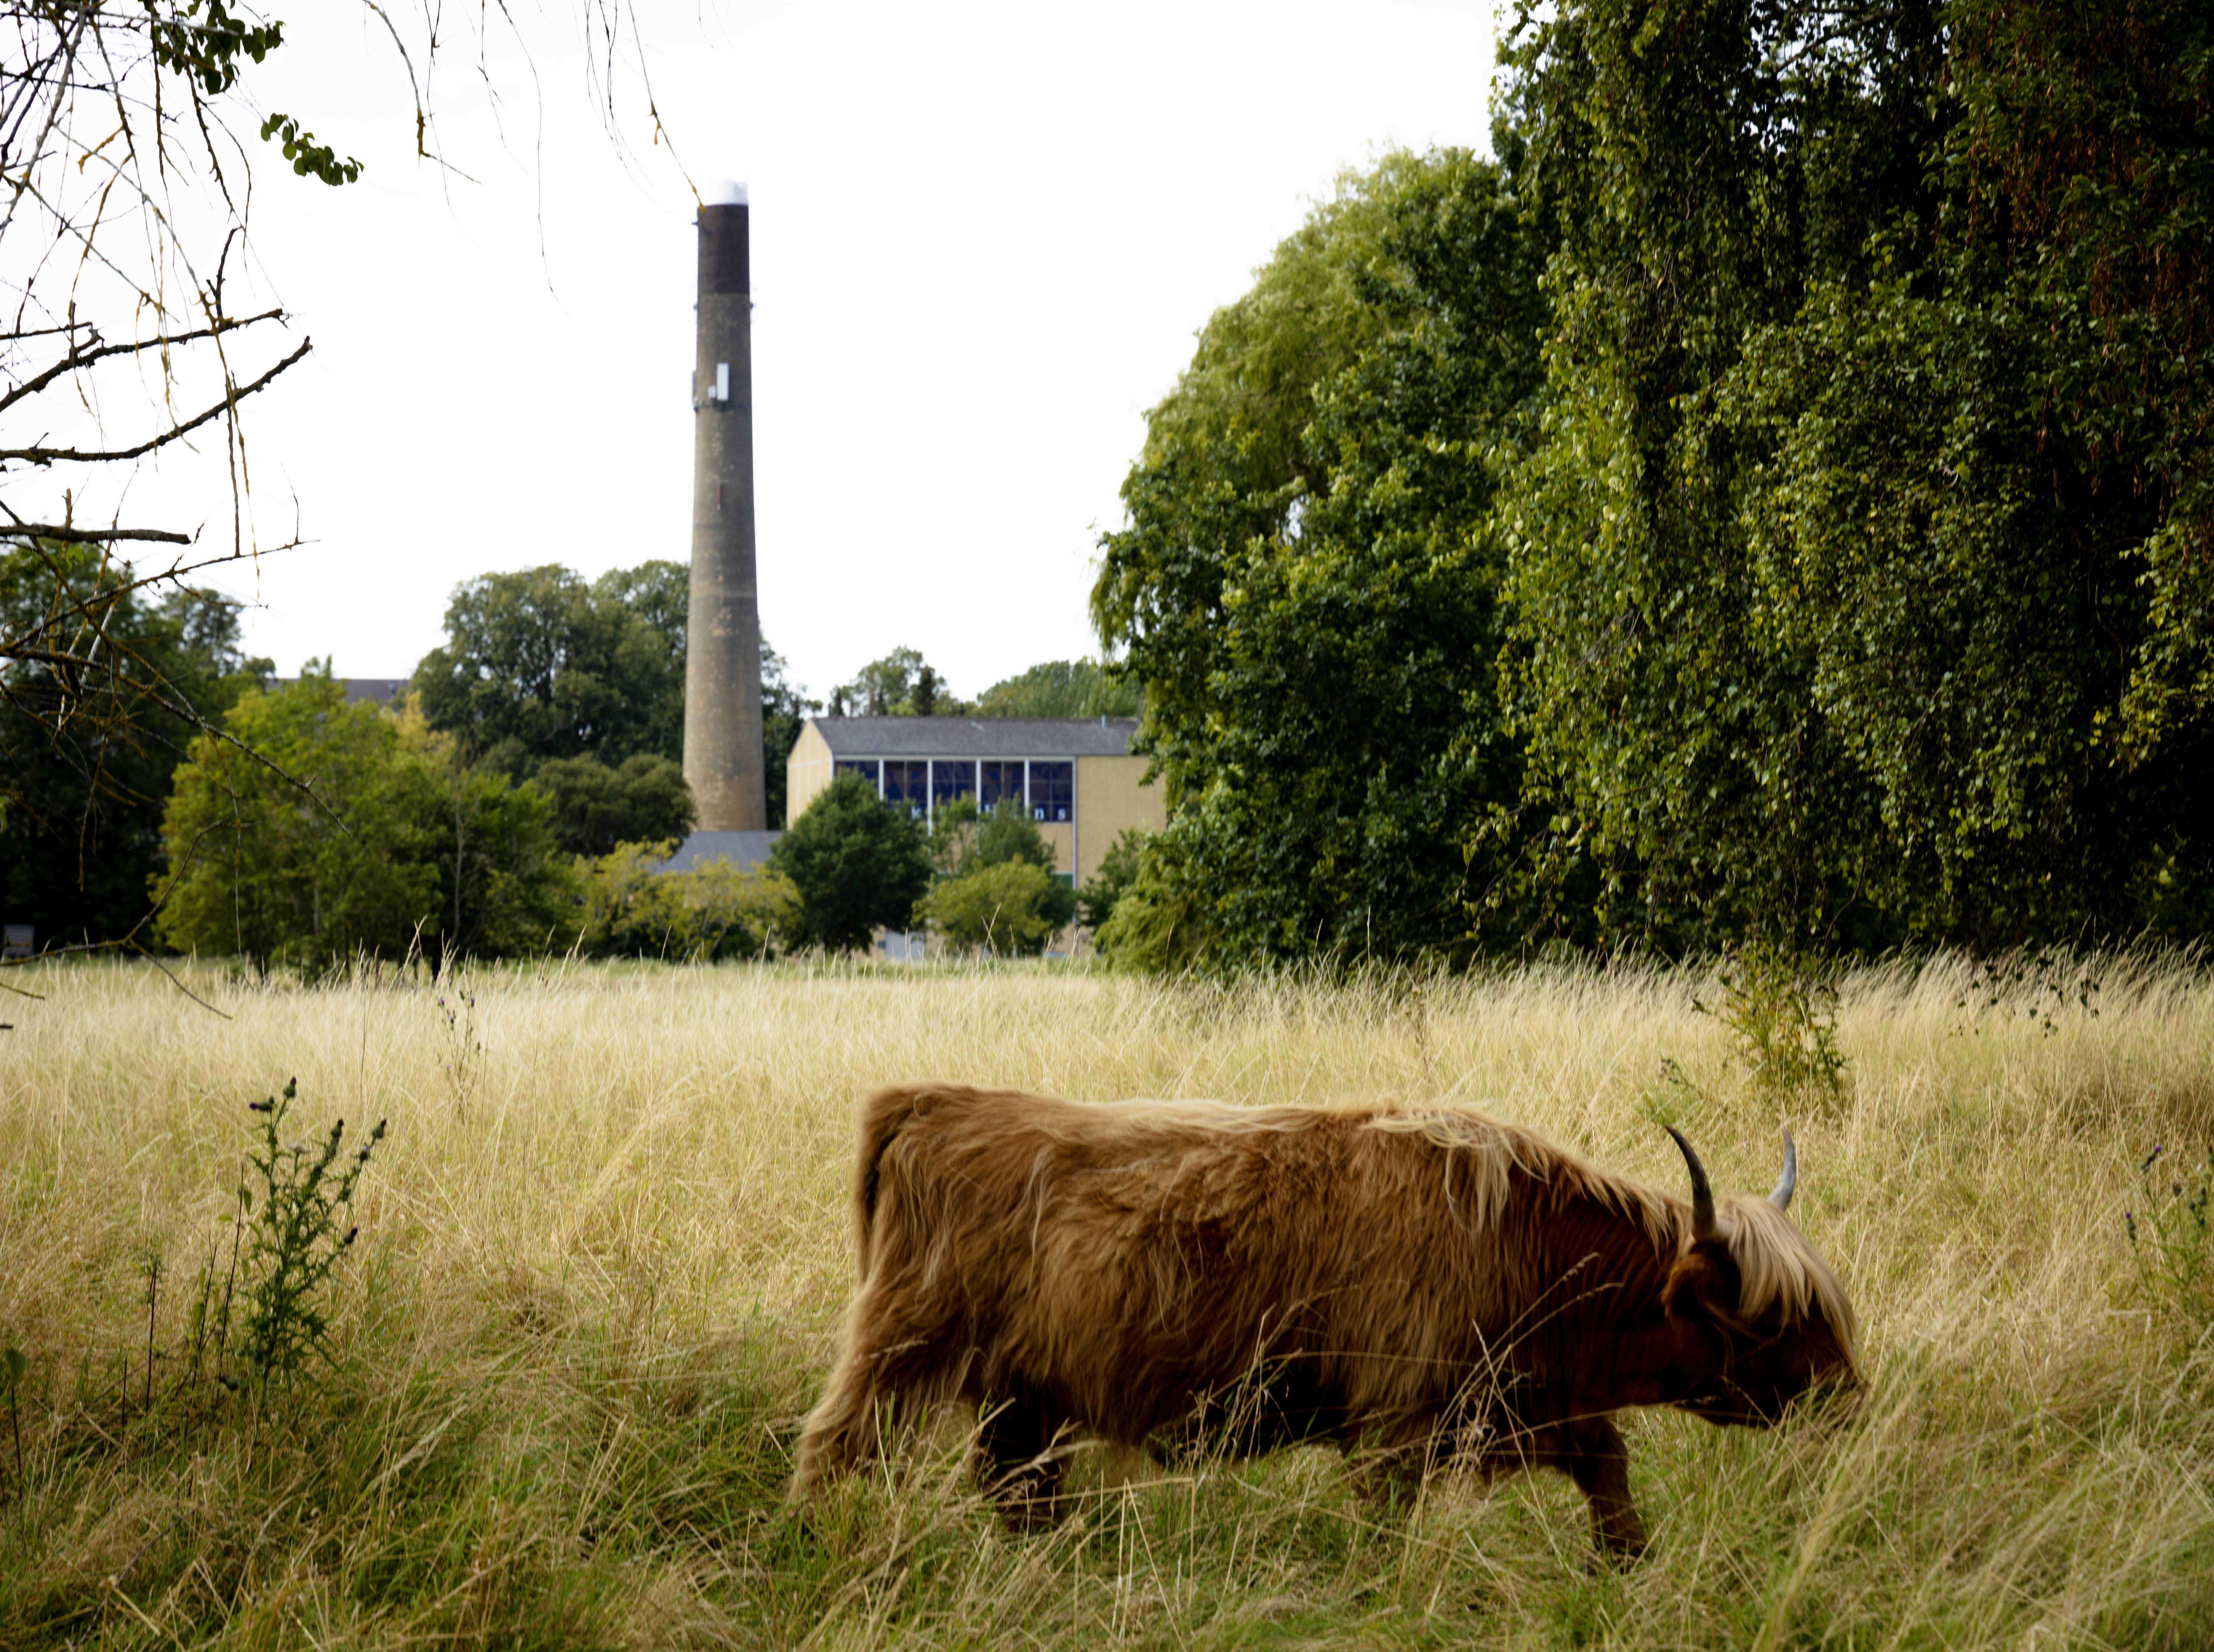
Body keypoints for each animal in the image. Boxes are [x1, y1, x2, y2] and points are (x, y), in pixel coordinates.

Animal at [791, 1083, 1859, 1562]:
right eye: (1767, 1321)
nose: (1845, 1396)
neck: (1523, 1246)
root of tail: (937, 1100)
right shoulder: (1398, 1422)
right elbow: (1385, 1527)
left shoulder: (1519, 1404)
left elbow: (1608, 1462)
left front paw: (1627, 1564)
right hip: (901, 1348)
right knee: (832, 1444)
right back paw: (812, 1536)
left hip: (1022, 1397)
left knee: (1017, 1488)